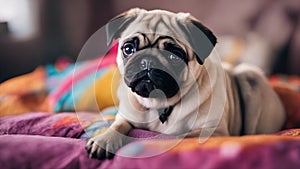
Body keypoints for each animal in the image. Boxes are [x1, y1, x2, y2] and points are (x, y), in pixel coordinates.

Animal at [85, 8, 286, 158]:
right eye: (128, 49)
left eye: (175, 56)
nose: (148, 60)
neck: (159, 104)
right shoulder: (126, 116)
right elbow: (118, 125)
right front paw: (104, 139)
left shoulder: (212, 131)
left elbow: (174, 136)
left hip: (250, 76)